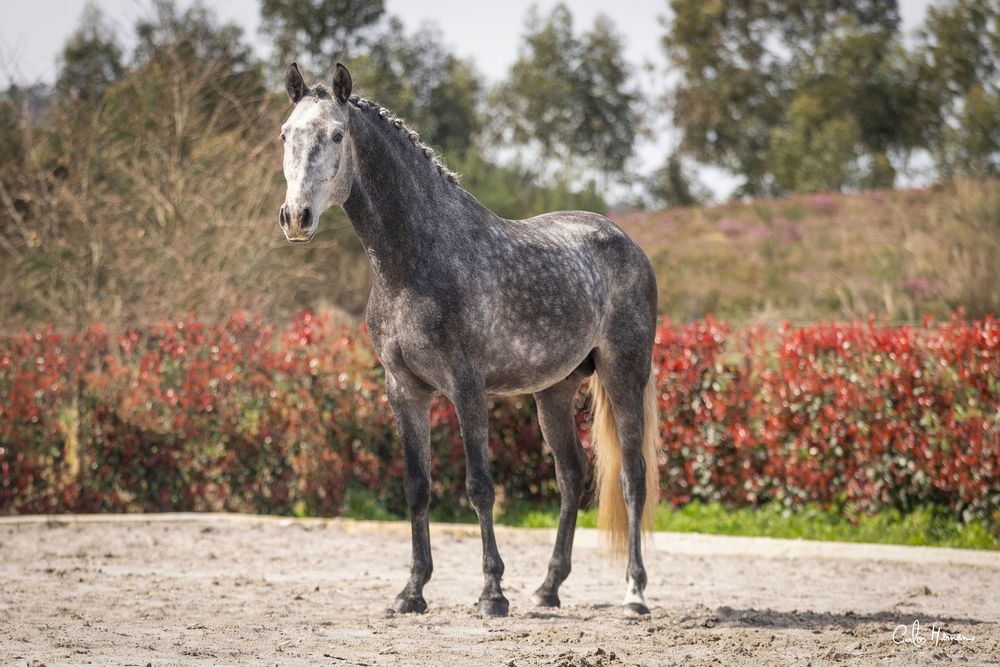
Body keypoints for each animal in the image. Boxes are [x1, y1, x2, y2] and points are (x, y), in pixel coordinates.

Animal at [278, 62, 660, 618]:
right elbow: (417, 487)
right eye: (286, 134)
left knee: (633, 477)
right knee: (571, 476)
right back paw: (548, 589)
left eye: (337, 134)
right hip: (555, 390)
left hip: (623, 374)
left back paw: (633, 593)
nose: (296, 218)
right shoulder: (404, 390)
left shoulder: (466, 386)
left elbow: (479, 485)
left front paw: (492, 593)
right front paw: (411, 591)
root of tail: (625, 241)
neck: (414, 262)